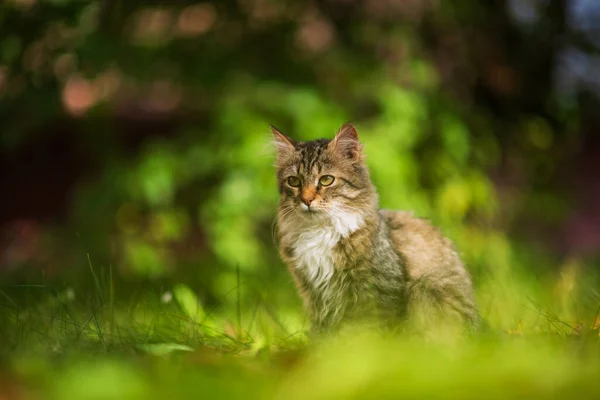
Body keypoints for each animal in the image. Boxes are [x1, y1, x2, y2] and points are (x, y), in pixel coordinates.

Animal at [272, 122, 478, 334]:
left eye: (326, 180)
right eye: (294, 181)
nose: (306, 200)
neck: (320, 231)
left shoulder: (380, 290)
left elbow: (373, 330)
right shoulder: (315, 295)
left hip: (427, 286)